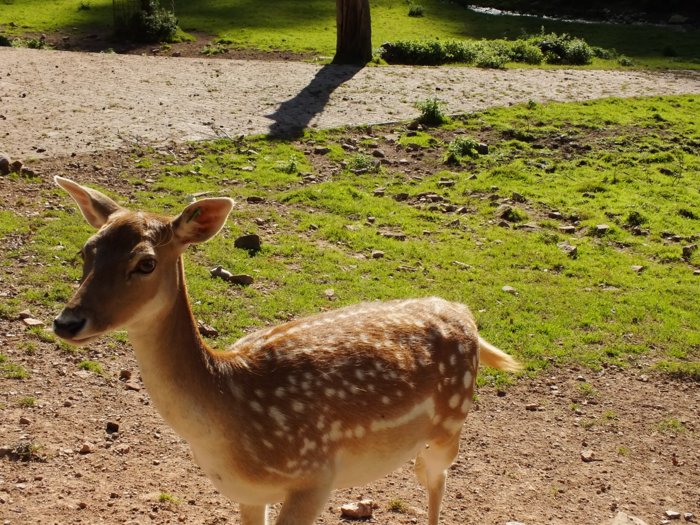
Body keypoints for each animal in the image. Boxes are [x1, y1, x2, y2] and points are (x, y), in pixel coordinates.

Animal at [53, 177, 520, 524]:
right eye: (86, 250)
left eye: (145, 262)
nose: (67, 321)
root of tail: (463, 313)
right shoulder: (247, 492)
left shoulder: (314, 477)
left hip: (451, 423)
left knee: (436, 477)